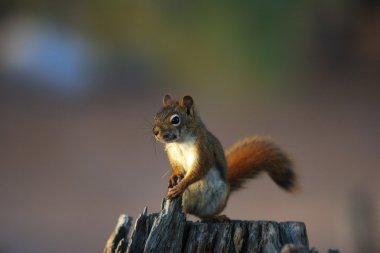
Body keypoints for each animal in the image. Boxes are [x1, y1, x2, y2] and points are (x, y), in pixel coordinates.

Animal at [151, 94, 296, 220]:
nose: (155, 131)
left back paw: (215, 217)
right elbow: (176, 167)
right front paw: (173, 176)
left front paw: (180, 186)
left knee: (202, 215)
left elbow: (198, 170)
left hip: (218, 199)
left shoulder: (204, 152)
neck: (179, 142)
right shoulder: (173, 155)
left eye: (175, 119)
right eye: (156, 116)